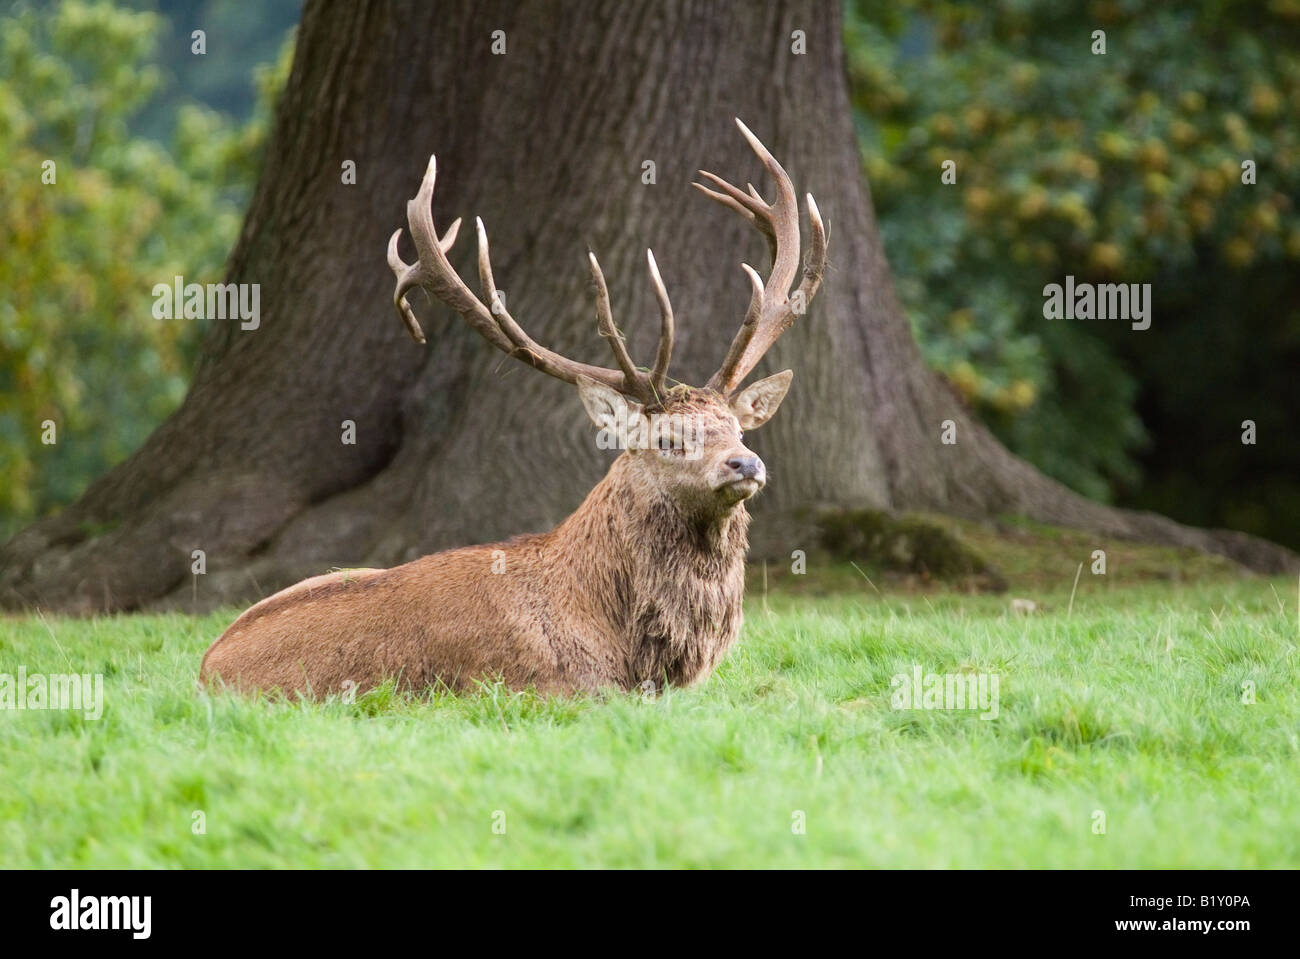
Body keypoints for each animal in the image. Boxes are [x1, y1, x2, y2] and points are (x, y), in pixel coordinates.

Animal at [200, 119, 827, 699]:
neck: (625, 646)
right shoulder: (553, 690)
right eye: (667, 440)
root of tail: (205, 667)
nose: (746, 464)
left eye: (740, 431)